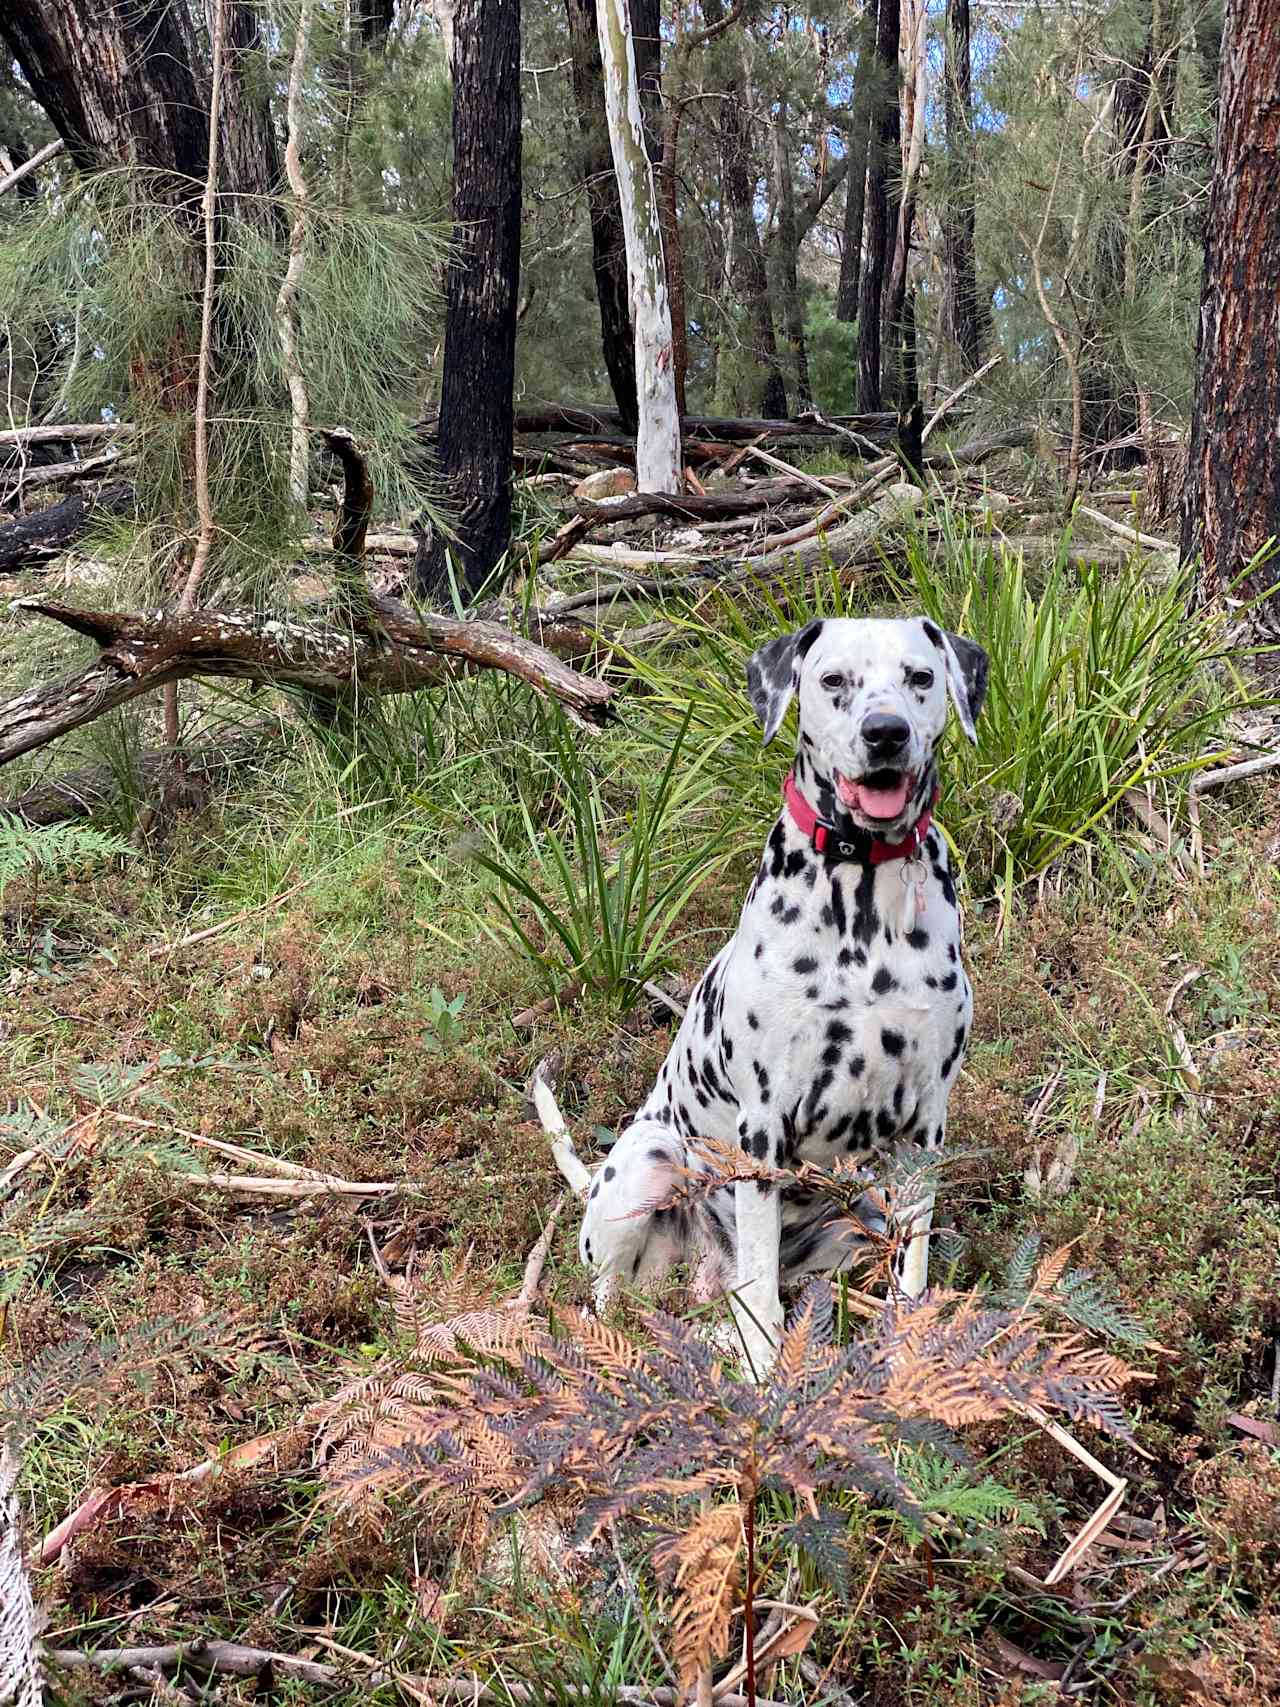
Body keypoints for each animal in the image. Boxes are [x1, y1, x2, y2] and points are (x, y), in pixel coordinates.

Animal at [573, 614, 989, 1372]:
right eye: (833, 680)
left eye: (920, 676)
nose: (886, 732)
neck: (862, 898)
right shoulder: (763, 1131)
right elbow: (762, 1301)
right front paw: (765, 1380)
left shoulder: (925, 1127)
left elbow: (913, 1270)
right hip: (648, 1159)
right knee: (616, 1300)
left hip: (859, 1214)